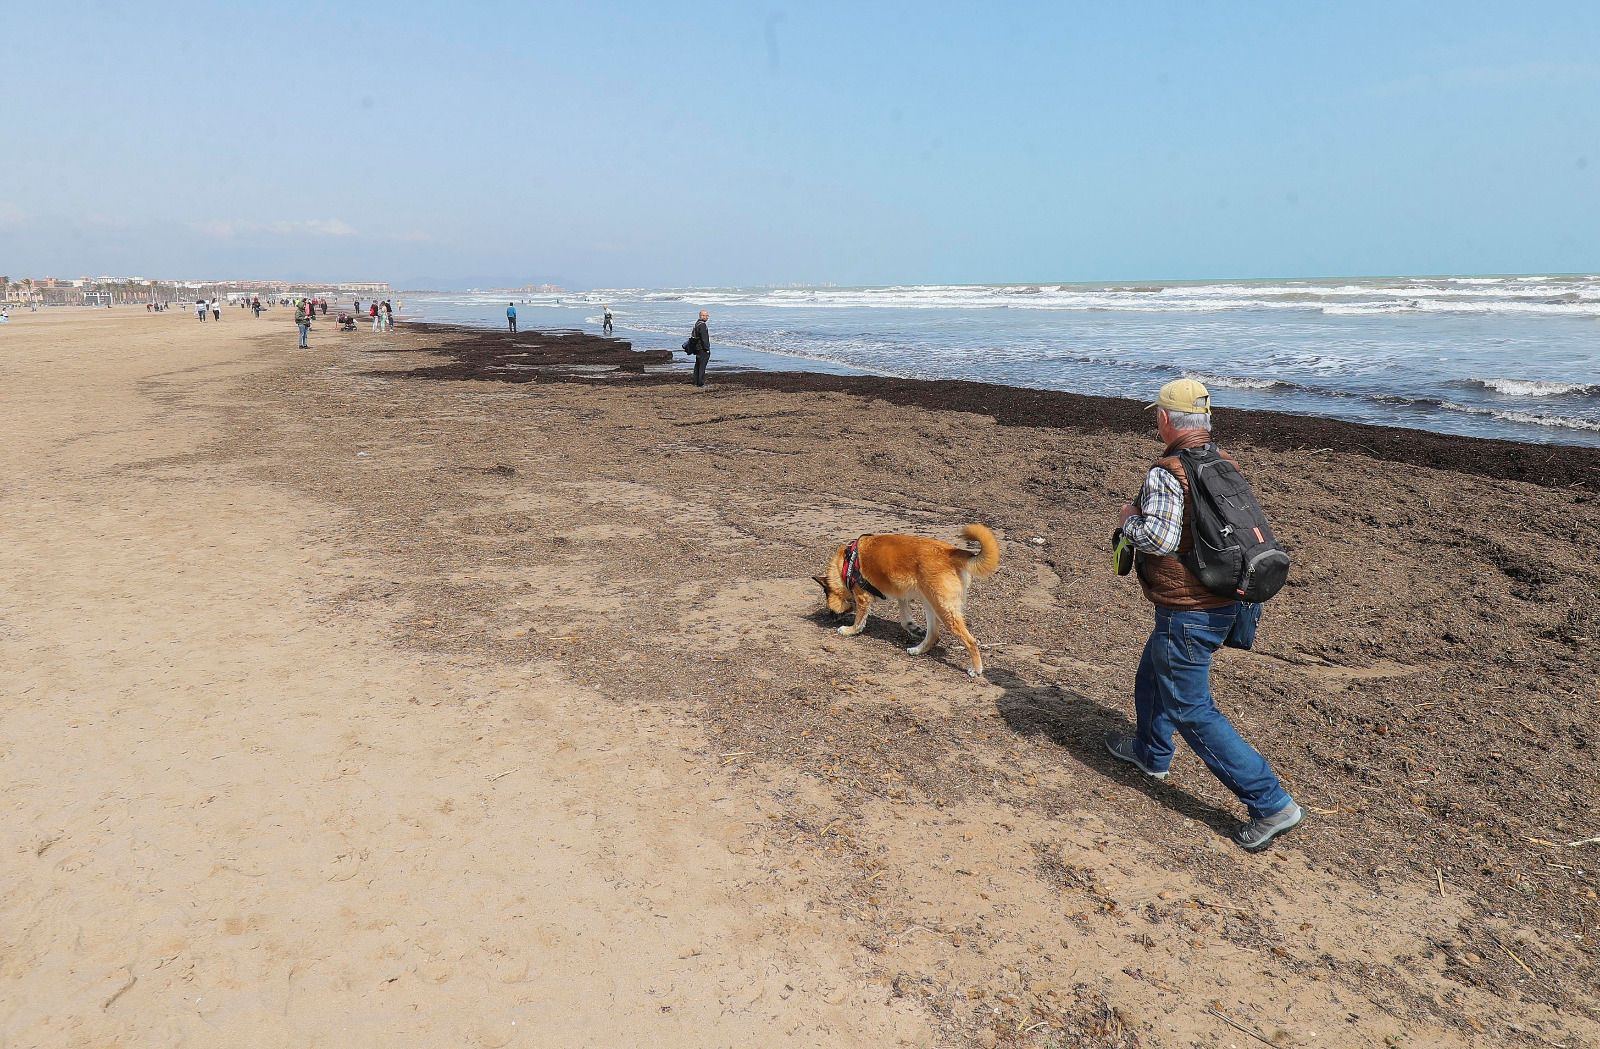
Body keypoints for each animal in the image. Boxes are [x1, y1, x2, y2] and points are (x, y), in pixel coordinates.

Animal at [812, 524, 998, 681]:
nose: (829, 617)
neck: (846, 567)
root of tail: (952, 551)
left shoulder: (862, 597)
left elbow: (859, 620)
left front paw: (850, 630)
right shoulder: (901, 594)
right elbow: (904, 619)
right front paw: (913, 628)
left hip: (943, 608)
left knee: (970, 641)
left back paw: (976, 669)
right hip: (930, 603)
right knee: (933, 635)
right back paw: (918, 649)